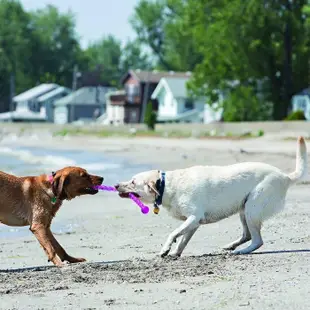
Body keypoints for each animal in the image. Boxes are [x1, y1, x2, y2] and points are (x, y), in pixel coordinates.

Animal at [114, 137, 308, 256]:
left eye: (133, 182)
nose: (115, 185)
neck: (166, 185)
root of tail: (285, 176)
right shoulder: (193, 223)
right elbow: (182, 240)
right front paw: (175, 253)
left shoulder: (193, 217)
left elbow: (173, 233)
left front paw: (166, 249)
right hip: (244, 210)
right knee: (247, 235)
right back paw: (232, 246)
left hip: (252, 208)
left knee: (257, 240)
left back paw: (241, 251)